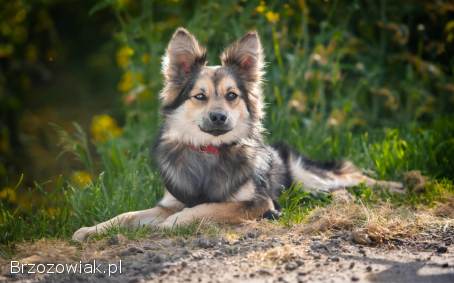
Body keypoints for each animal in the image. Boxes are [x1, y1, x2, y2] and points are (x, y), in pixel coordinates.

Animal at [72, 28, 402, 242]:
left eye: (231, 95)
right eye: (200, 96)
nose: (219, 116)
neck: (209, 151)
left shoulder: (258, 203)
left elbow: (207, 208)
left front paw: (172, 224)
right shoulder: (168, 202)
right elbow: (126, 216)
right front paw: (91, 230)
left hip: (309, 176)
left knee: (354, 177)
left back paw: (398, 186)